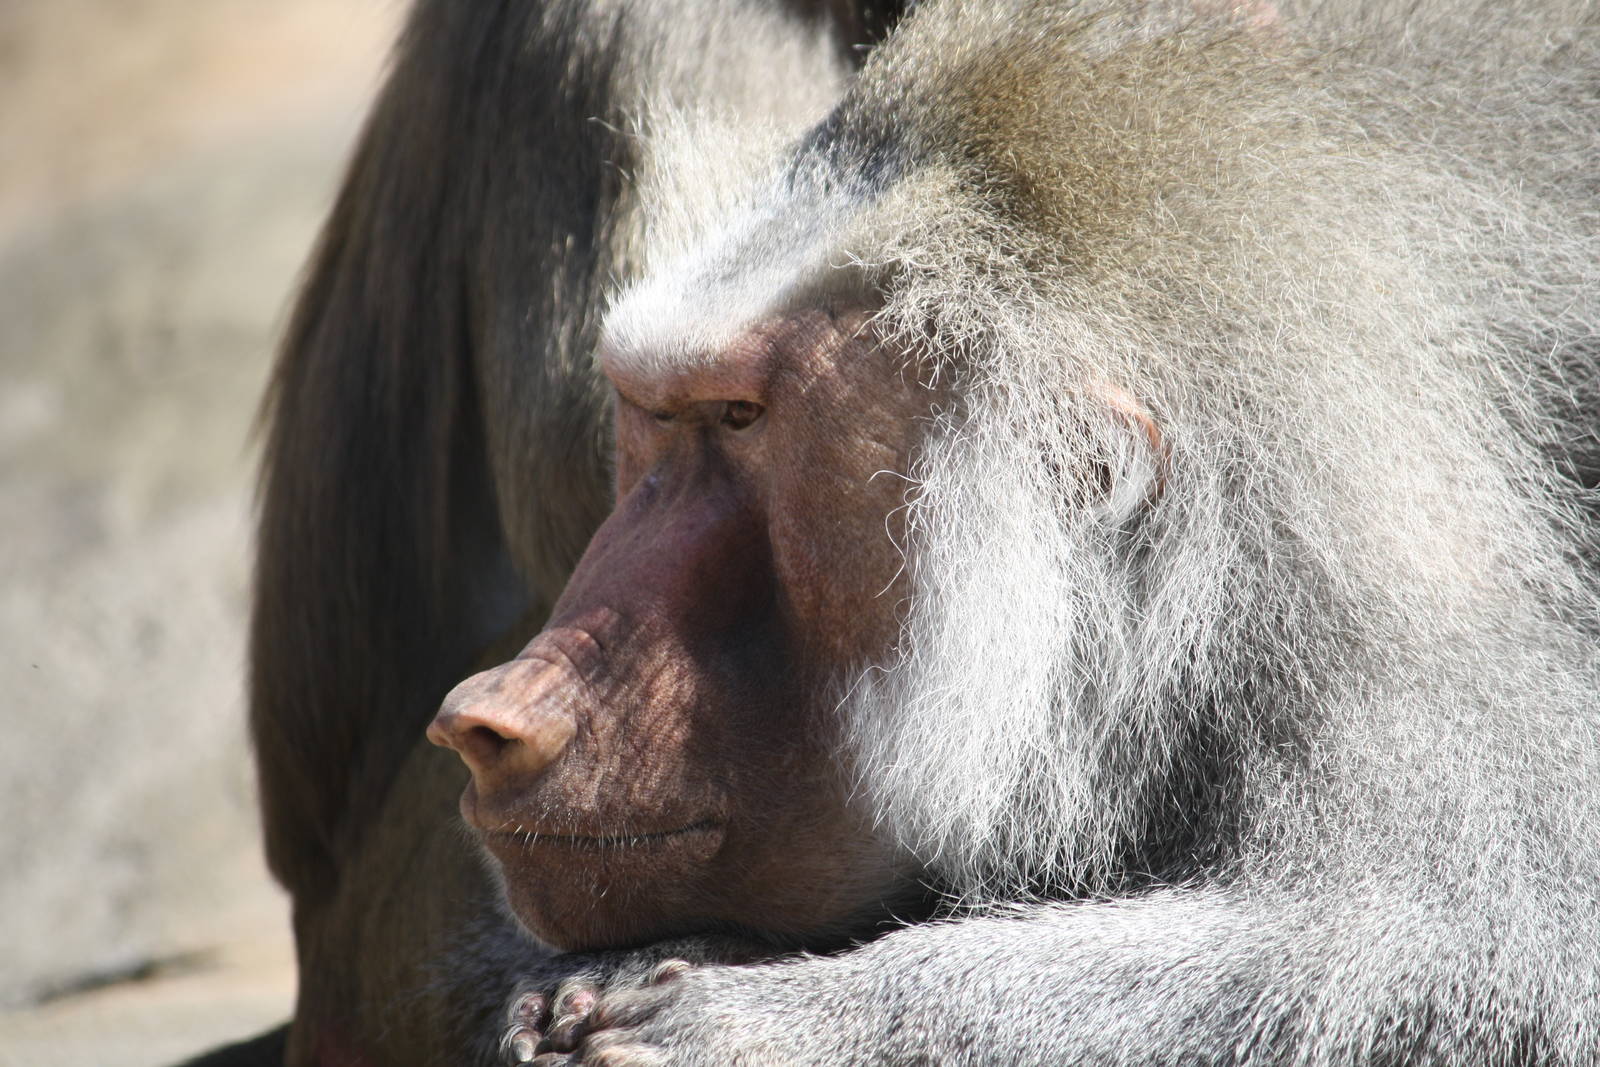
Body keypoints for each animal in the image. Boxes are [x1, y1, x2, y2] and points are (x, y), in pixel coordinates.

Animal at [420, 1, 1600, 1064]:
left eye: (740, 420)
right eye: (654, 415)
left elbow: (1449, 938)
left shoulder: (1390, 620)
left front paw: (766, 1021)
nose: (489, 714)